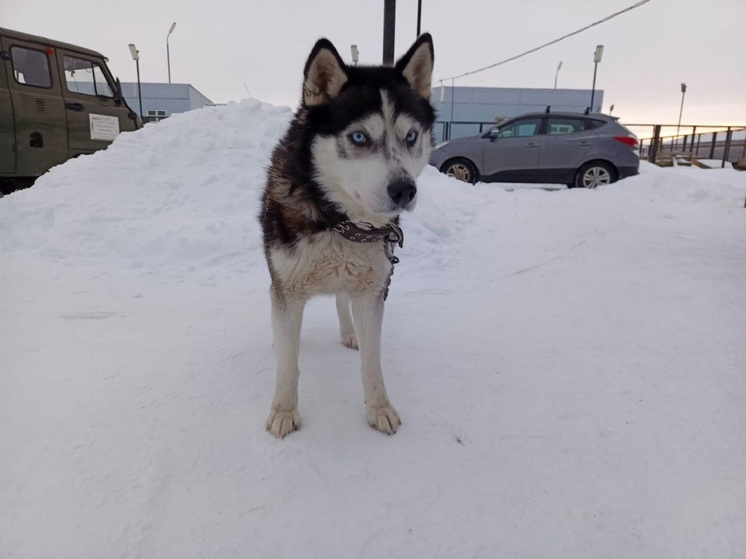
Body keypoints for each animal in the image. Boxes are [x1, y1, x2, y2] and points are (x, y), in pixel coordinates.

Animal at [260, 35, 436, 440]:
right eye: (358, 136)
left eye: (411, 136)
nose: (404, 190)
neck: (338, 222)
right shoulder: (286, 288)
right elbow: (288, 364)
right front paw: (283, 411)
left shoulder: (373, 290)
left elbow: (373, 361)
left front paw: (379, 408)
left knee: (342, 299)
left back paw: (349, 331)